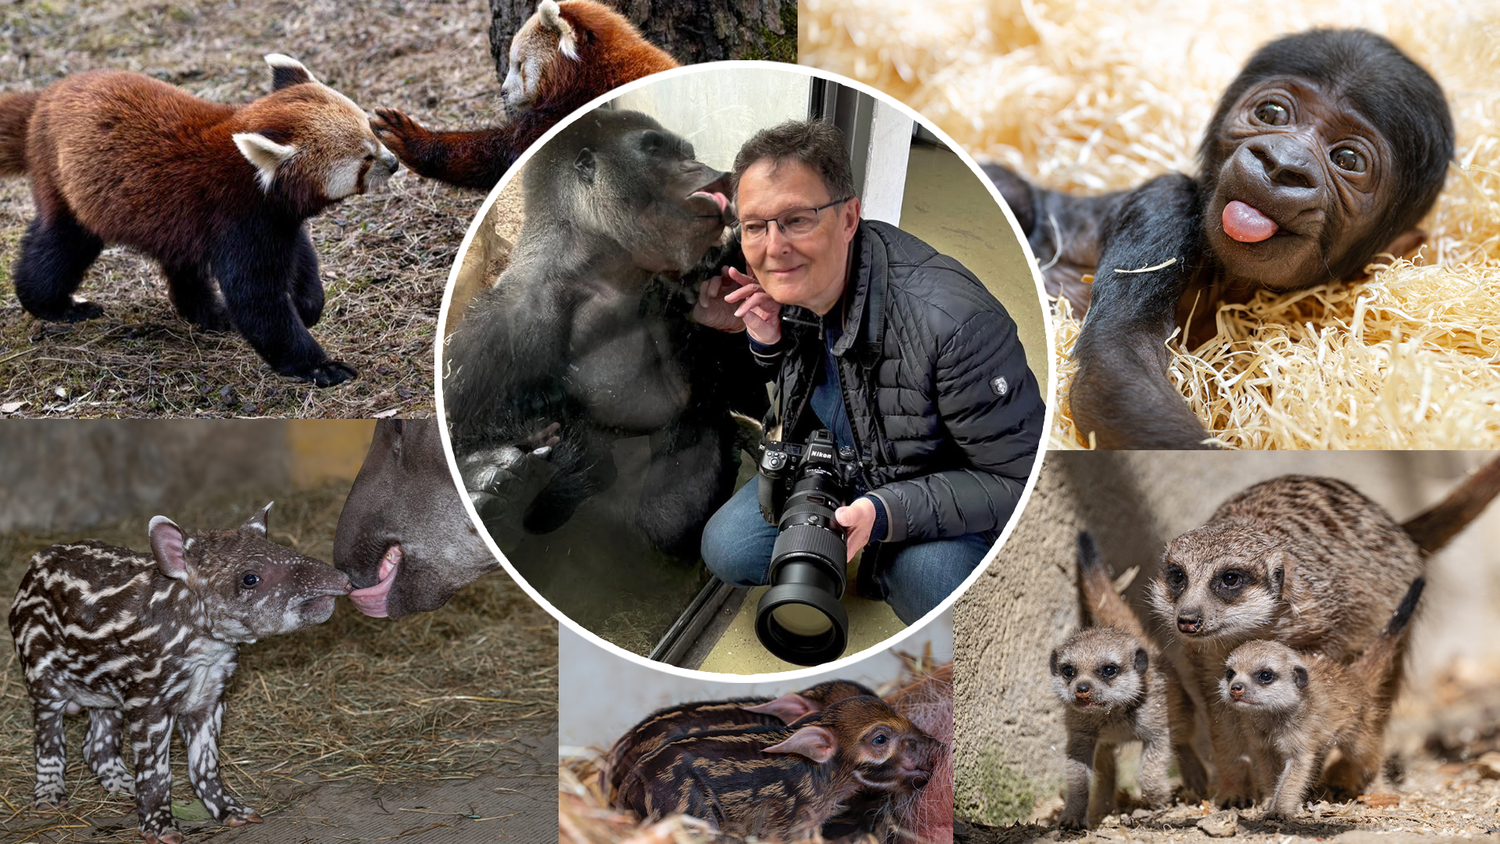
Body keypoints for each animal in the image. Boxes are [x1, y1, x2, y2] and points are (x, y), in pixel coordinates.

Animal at [0, 54, 399, 386]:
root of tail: (47, 96)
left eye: (373, 130)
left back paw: (209, 314)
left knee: (180, 262)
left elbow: (302, 255)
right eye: (364, 158)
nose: (394, 163)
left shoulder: (278, 218)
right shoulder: (238, 218)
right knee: (61, 244)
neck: (251, 173)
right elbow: (257, 301)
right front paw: (320, 366)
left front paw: (308, 304)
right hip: (68, 184)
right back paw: (55, 305)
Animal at [1220, 577, 1424, 819]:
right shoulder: (1261, 744)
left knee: (1368, 759)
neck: (1272, 720)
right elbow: (1269, 770)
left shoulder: (1302, 737)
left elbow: (1295, 773)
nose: (1236, 688)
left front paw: (1279, 810)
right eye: (1230, 673)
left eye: (1265, 675)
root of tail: (1354, 676)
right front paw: (1269, 799)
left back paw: (1379, 790)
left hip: (1359, 730)